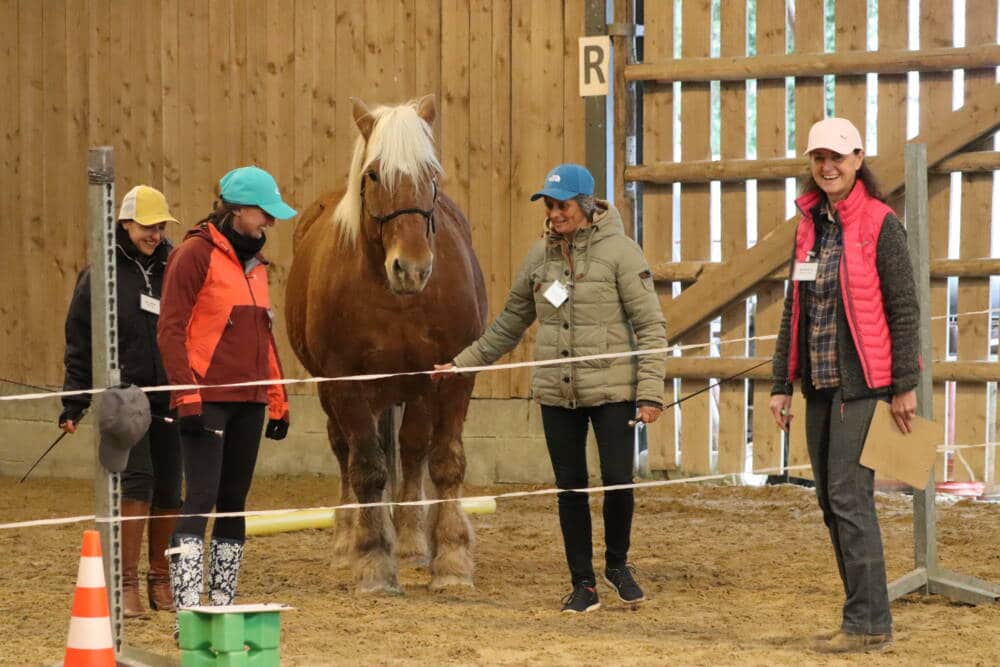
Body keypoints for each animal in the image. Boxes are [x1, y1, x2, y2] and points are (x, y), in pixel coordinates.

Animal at [286, 96, 488, 592]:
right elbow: (367, 468)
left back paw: (413, 541)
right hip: (335, 392)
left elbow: (446, 462)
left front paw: (451, 559)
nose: (411, 268)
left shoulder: (452, 378)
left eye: (431, 174)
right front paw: (372, 558)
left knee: (413, 450)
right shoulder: (346, 383)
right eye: (374, 174)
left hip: (415, 389)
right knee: (345, 452)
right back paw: (347, 539)